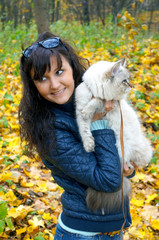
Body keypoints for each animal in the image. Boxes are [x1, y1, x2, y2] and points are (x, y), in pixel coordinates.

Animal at [75, 59, 153, 213]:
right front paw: (89, 146)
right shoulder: (80, 116)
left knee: (130, 163)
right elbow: (85, 132)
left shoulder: (110, 103)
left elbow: (98, 100)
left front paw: (90, 108)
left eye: (129, 80)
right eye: (125, 81)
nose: (131, 86)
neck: (92, 92)